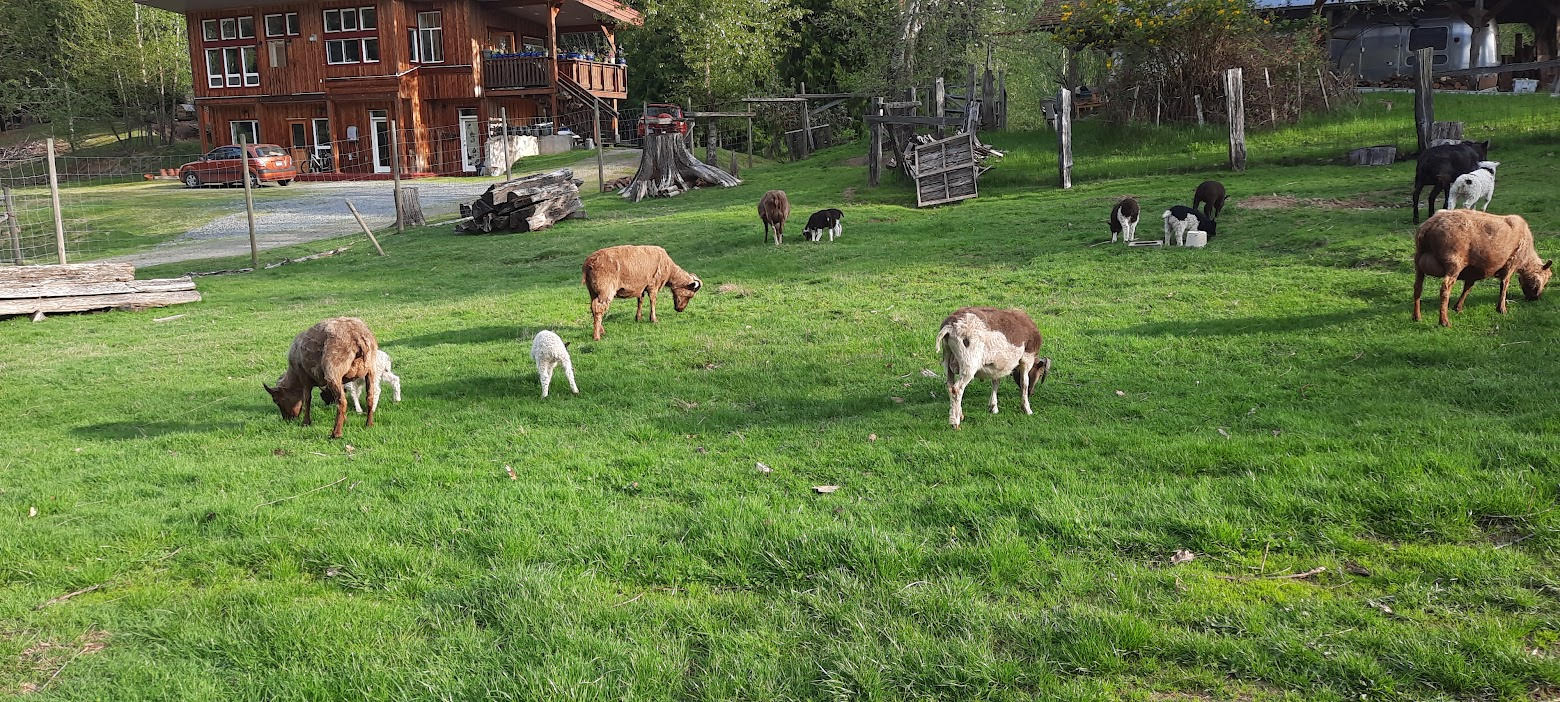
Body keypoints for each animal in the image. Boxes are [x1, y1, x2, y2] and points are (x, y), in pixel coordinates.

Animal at [1416, 209, 1547, 327]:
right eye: (1542, 281)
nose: (1535, 299)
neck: (1526, 257)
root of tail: (1429, 226)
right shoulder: (1511, 263)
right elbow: (1504, 285)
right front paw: (1502, 309)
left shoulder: (1472, 271)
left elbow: (1467, 288)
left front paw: (1458, 307)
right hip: (1453, 263)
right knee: (1445, 289)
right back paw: (1444, 321)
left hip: (1419, 261)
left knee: (1418, 287)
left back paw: (1416, 317)